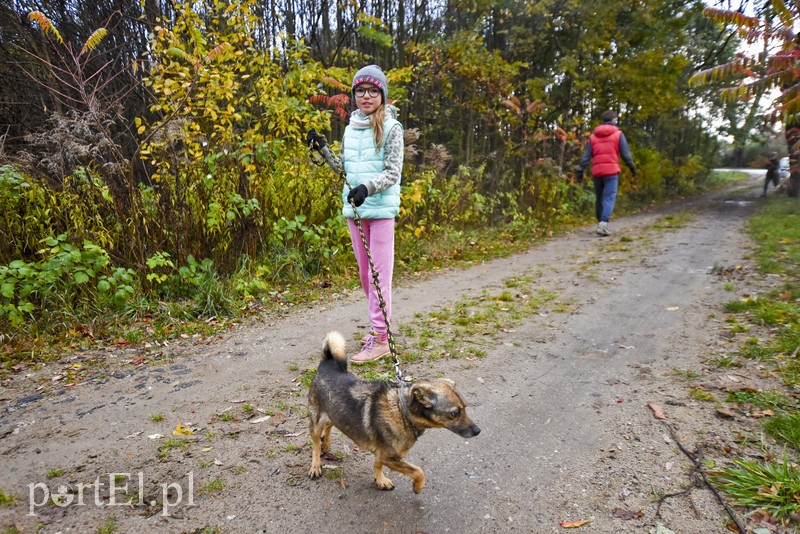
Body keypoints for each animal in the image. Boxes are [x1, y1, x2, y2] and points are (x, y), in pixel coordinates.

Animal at [308, 332, 482, 496]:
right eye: (455, 413)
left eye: (465, 407)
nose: (478, 431)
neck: (402, 412)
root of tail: (327, 362)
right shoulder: (389, 457)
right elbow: (418, 471)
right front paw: (418, 486)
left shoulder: (382, 455)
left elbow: (377, 465)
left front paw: (380, 480)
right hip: (316, 420)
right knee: (315, 444)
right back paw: (315, 465)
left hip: (334, 412)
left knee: (329, 425)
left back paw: (326, 443)